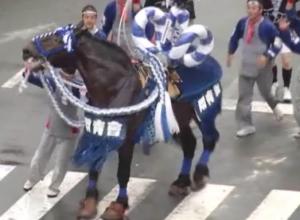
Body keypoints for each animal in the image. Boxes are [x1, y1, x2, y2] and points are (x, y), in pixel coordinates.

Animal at [22, 24, 221, 219]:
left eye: (57, 38)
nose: (26, 50)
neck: (115, 86)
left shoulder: (126, 139)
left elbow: (123, 173)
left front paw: (118, 206)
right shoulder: (99, 132)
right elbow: (94, 167)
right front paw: (89, 202)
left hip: (202, 113)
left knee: (209, 139)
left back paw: (200, 174)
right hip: (179, 121)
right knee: (190, 144)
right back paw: (181, 182)